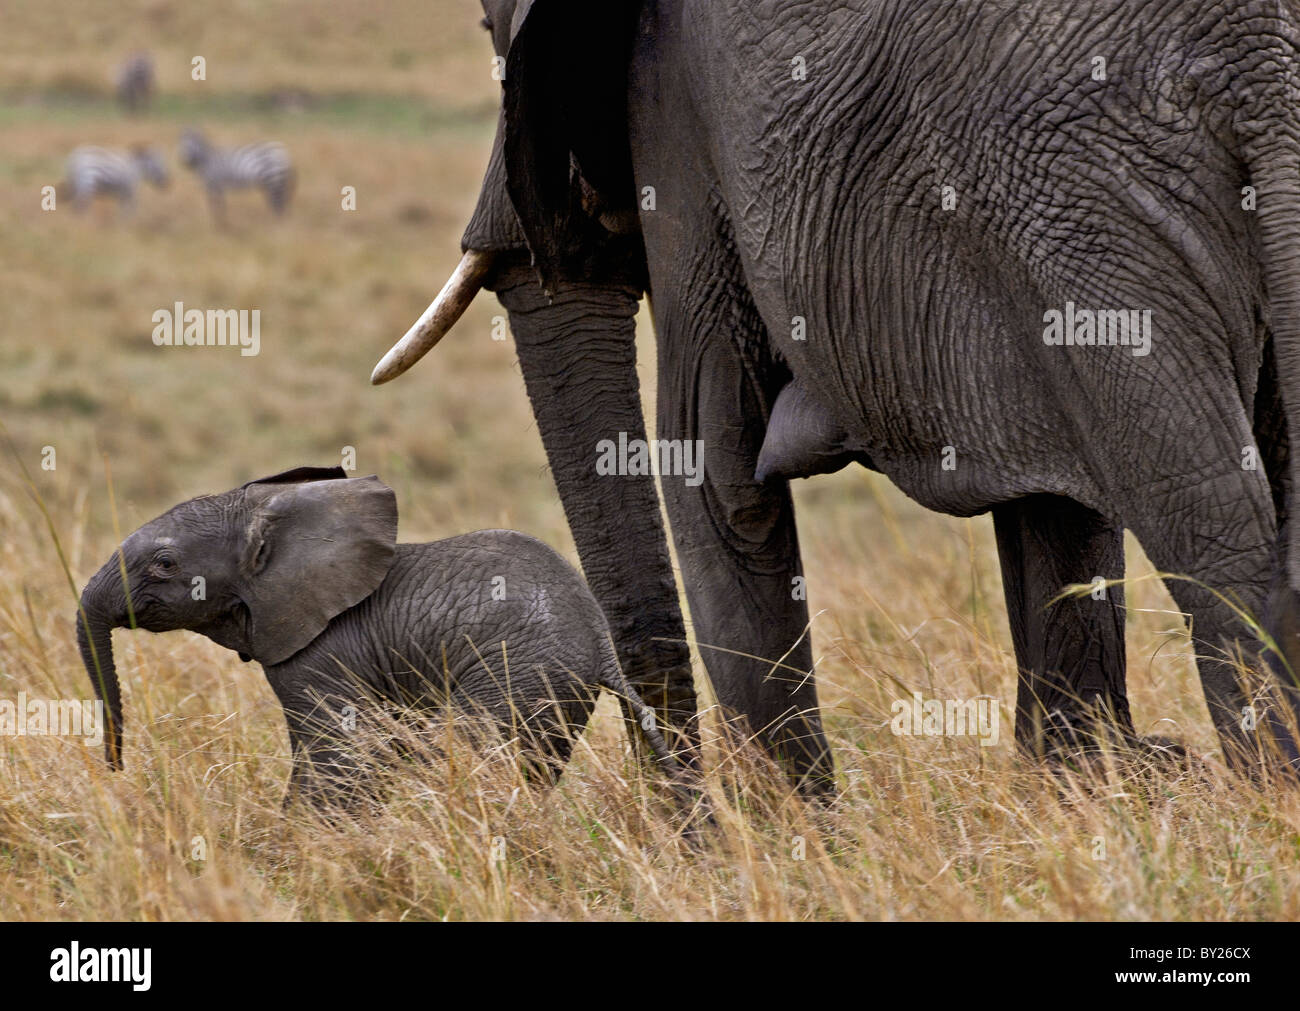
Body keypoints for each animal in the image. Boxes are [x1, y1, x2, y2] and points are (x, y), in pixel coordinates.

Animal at [74, 465, 676, 805]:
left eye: (165, 564)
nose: (115, 772)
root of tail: (600, 636)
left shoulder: (321, 651)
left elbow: (337, 753)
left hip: (518, 673)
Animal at [374, 0, 1300, 784]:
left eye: (489, 28)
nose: (683, 821)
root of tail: (1259, 62)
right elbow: (1056, 513)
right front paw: (1076, 791)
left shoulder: (674, 107)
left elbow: (710, 459)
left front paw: (781, 842)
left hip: (1087, 205)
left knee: (1210, 531)